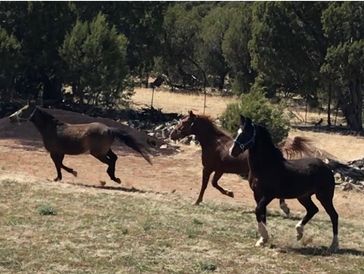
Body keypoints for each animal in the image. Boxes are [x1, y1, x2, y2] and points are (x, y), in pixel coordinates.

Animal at [8, 104, 151, 183]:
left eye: (23, 110)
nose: (10, 118)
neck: (53, 128)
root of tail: (109, 129)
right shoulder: (60, 152)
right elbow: (60, 164)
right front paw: (64, 175)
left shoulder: (55, 152)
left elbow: (58, 164)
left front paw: (65, 175)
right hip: (105, 150)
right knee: (115, 158)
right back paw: (115, 178)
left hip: (98, 153)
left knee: (110, 161)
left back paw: (113, 178)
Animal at [170, 110, 310, 215]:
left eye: (184, 122)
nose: (172, 134)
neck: (214, 143)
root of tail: (276, 149)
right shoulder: (219, 170)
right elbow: (214, 183)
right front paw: (230, 193)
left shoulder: (208, 168)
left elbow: (205, 185)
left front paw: (197, 201)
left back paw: (284, 208)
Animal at [230, 114, 338, 252]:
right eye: (238, 132)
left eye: (246, 133)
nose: (232, 151)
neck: (266, 166)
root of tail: (327, 167)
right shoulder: (257, 194)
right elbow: (262, 213)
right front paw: (262, 240)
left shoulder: (268, 195)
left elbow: (258, 210)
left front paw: (264, 237)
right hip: (303, 196)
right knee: (313, 210)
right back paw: (299, 233)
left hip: (324, 196)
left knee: (333, 215)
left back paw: (334, 245)